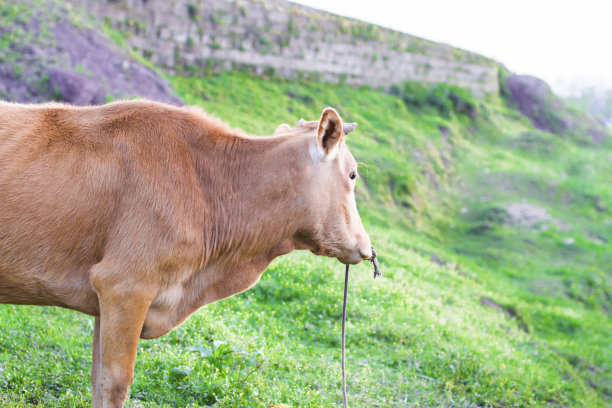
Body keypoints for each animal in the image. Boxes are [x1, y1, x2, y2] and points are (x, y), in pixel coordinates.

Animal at [0, 99, 372, 408]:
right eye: (353, 174)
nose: (367, 247)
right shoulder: (125, 286)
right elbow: (114, 383)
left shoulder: (105, 300)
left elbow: (96, 378)